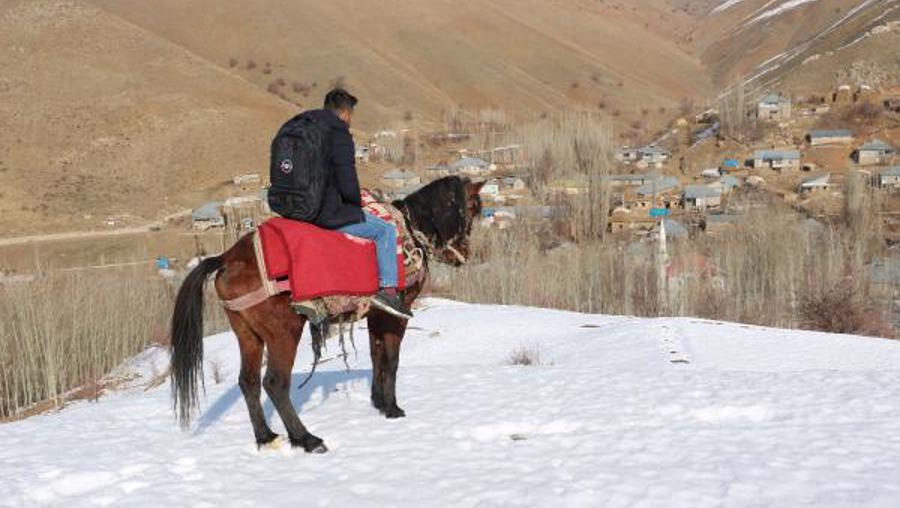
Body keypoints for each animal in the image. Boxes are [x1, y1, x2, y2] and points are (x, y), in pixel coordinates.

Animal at [166, 176, 482, 452]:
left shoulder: (375, 316)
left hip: (248, 334)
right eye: (472, 209)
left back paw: (266, 437)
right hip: (284, 333)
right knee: (275, 383)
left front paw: (379, 403)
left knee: (249, 382)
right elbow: (391, 361)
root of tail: (229, 257)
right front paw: (393, 408)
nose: (463, 253)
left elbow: (376, 356)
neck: (407, 231)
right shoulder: (394, 316)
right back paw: (306, 439)